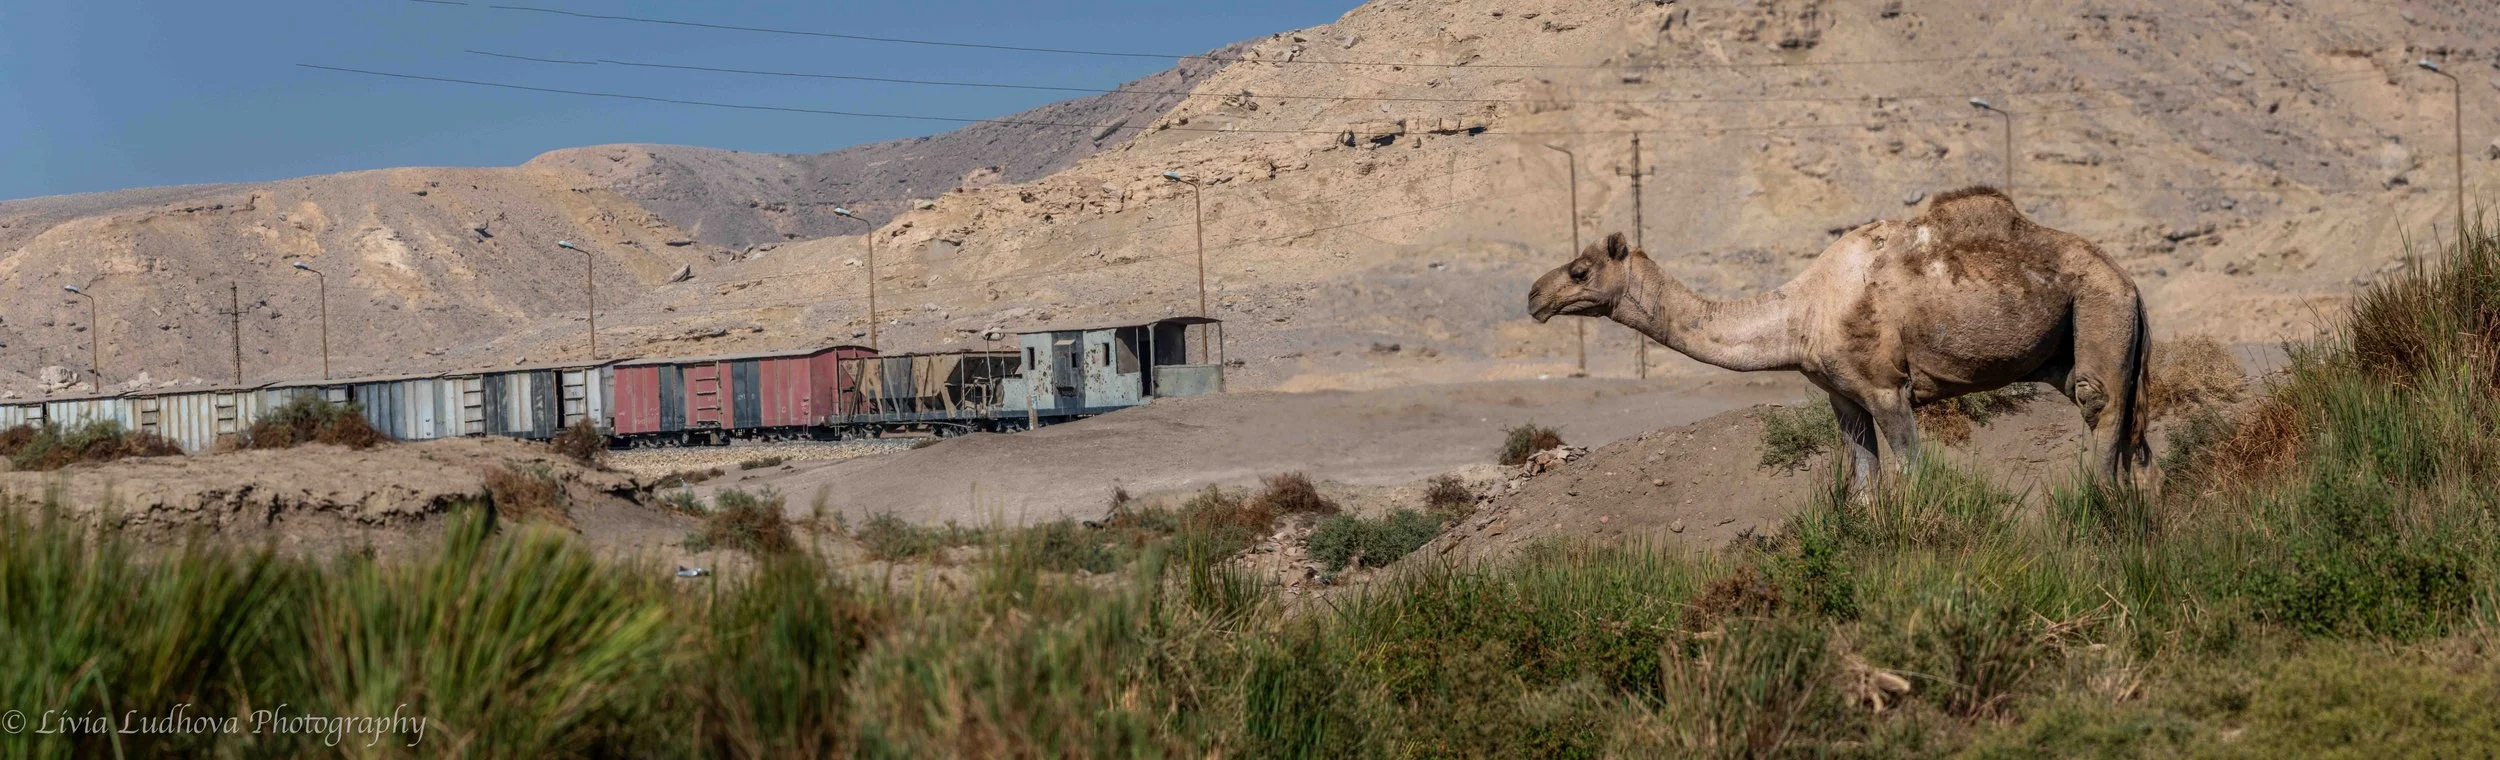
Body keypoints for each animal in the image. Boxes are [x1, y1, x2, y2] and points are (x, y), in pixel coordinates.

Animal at [1527, 186, 2150, 495]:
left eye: (1579, 271)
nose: (1534, 296)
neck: (1803, 311)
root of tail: (2132, 282)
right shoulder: (1843, 396)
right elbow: (1864, 484)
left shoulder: (1887, 388)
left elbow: (1912, 474)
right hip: (2073, 347)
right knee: (2134, 441)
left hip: (2099, 306)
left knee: (2101, 408)